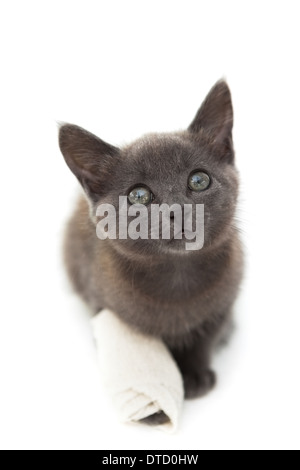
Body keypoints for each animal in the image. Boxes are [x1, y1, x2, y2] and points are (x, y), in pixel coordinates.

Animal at [58, 80, 244, 412]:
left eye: (199, 180)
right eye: (139, 196)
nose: (178, 210)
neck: (178, 277)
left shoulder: (225, 300)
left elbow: (207, 336)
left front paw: (194, 373)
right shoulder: (103, 301)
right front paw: (153, 402)